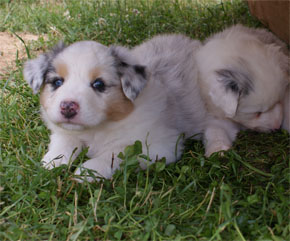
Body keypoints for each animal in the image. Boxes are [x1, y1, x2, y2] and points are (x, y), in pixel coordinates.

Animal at [23, 34, 206, 180]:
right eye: (57, 82)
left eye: (98, 84)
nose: (68, 107)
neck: (96, 129)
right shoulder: (65, 132)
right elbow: (62, 144)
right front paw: (50, 164)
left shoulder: (160, 144)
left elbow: (117, 154)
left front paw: (84, 172)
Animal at [196, 25, 288, 156]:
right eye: (257, 113)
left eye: (279, 100)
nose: (277, 127)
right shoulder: (214, 114)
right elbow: (216, 130)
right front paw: (218, 152)